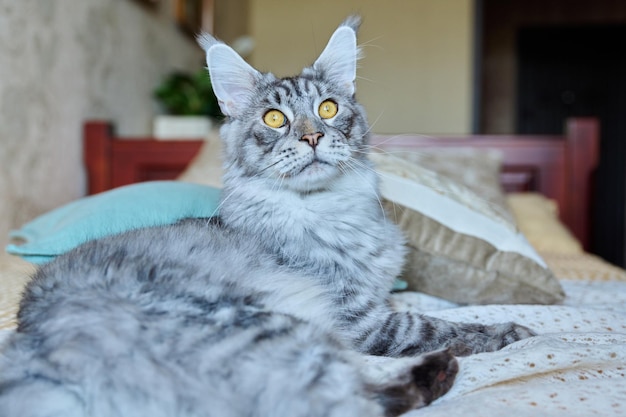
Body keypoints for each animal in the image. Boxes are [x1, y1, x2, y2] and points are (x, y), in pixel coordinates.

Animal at [0, 14, 532, 416]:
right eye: (274, 119)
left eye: (329, 108)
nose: (313, 136)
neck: (328, 210)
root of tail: (37, 343)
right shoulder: (361, 319)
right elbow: (438, 326)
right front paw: (512, 332)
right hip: (272, 327)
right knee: (352, 401)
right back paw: (441, 370)